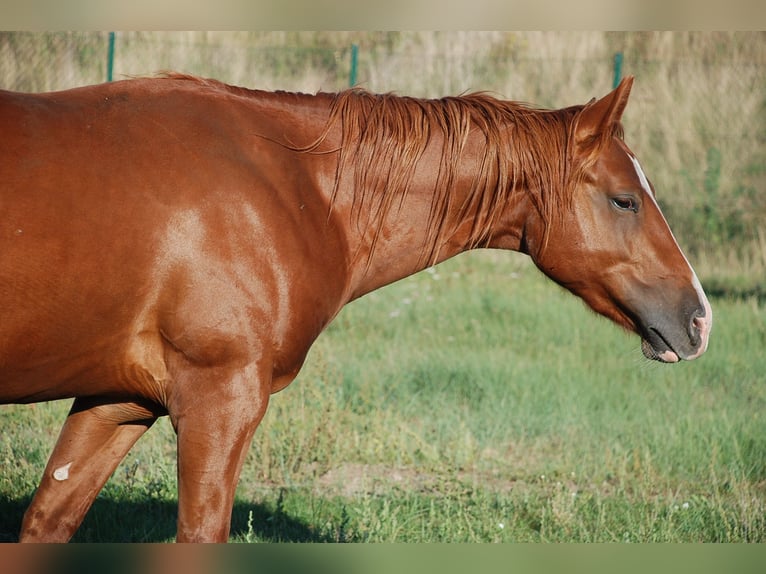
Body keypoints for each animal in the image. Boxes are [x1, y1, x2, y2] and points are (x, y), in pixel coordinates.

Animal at [0, 74, 711, 542]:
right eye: (625, 200)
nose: (700, 319)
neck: (291, 187)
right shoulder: (218, 401)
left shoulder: (117, 399)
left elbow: (47, 520)